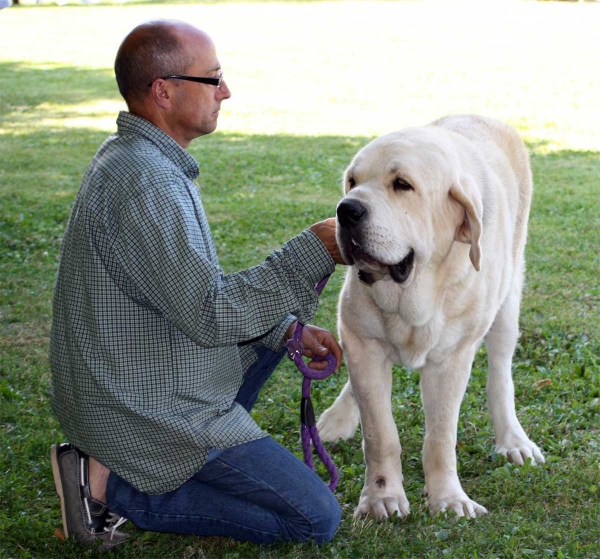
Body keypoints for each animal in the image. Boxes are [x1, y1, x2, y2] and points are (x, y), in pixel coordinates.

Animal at [318, 114, 544, 520]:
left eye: (402, 185)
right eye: (352, 181)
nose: (346, 209)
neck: (412, 294)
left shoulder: (450, 360)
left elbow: (440, 437)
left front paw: (448, 499)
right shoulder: (361, 342)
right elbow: (379, 432)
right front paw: (381, 497)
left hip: (507, 304)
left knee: (500, 373)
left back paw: (513, 439)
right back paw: (336, 420)